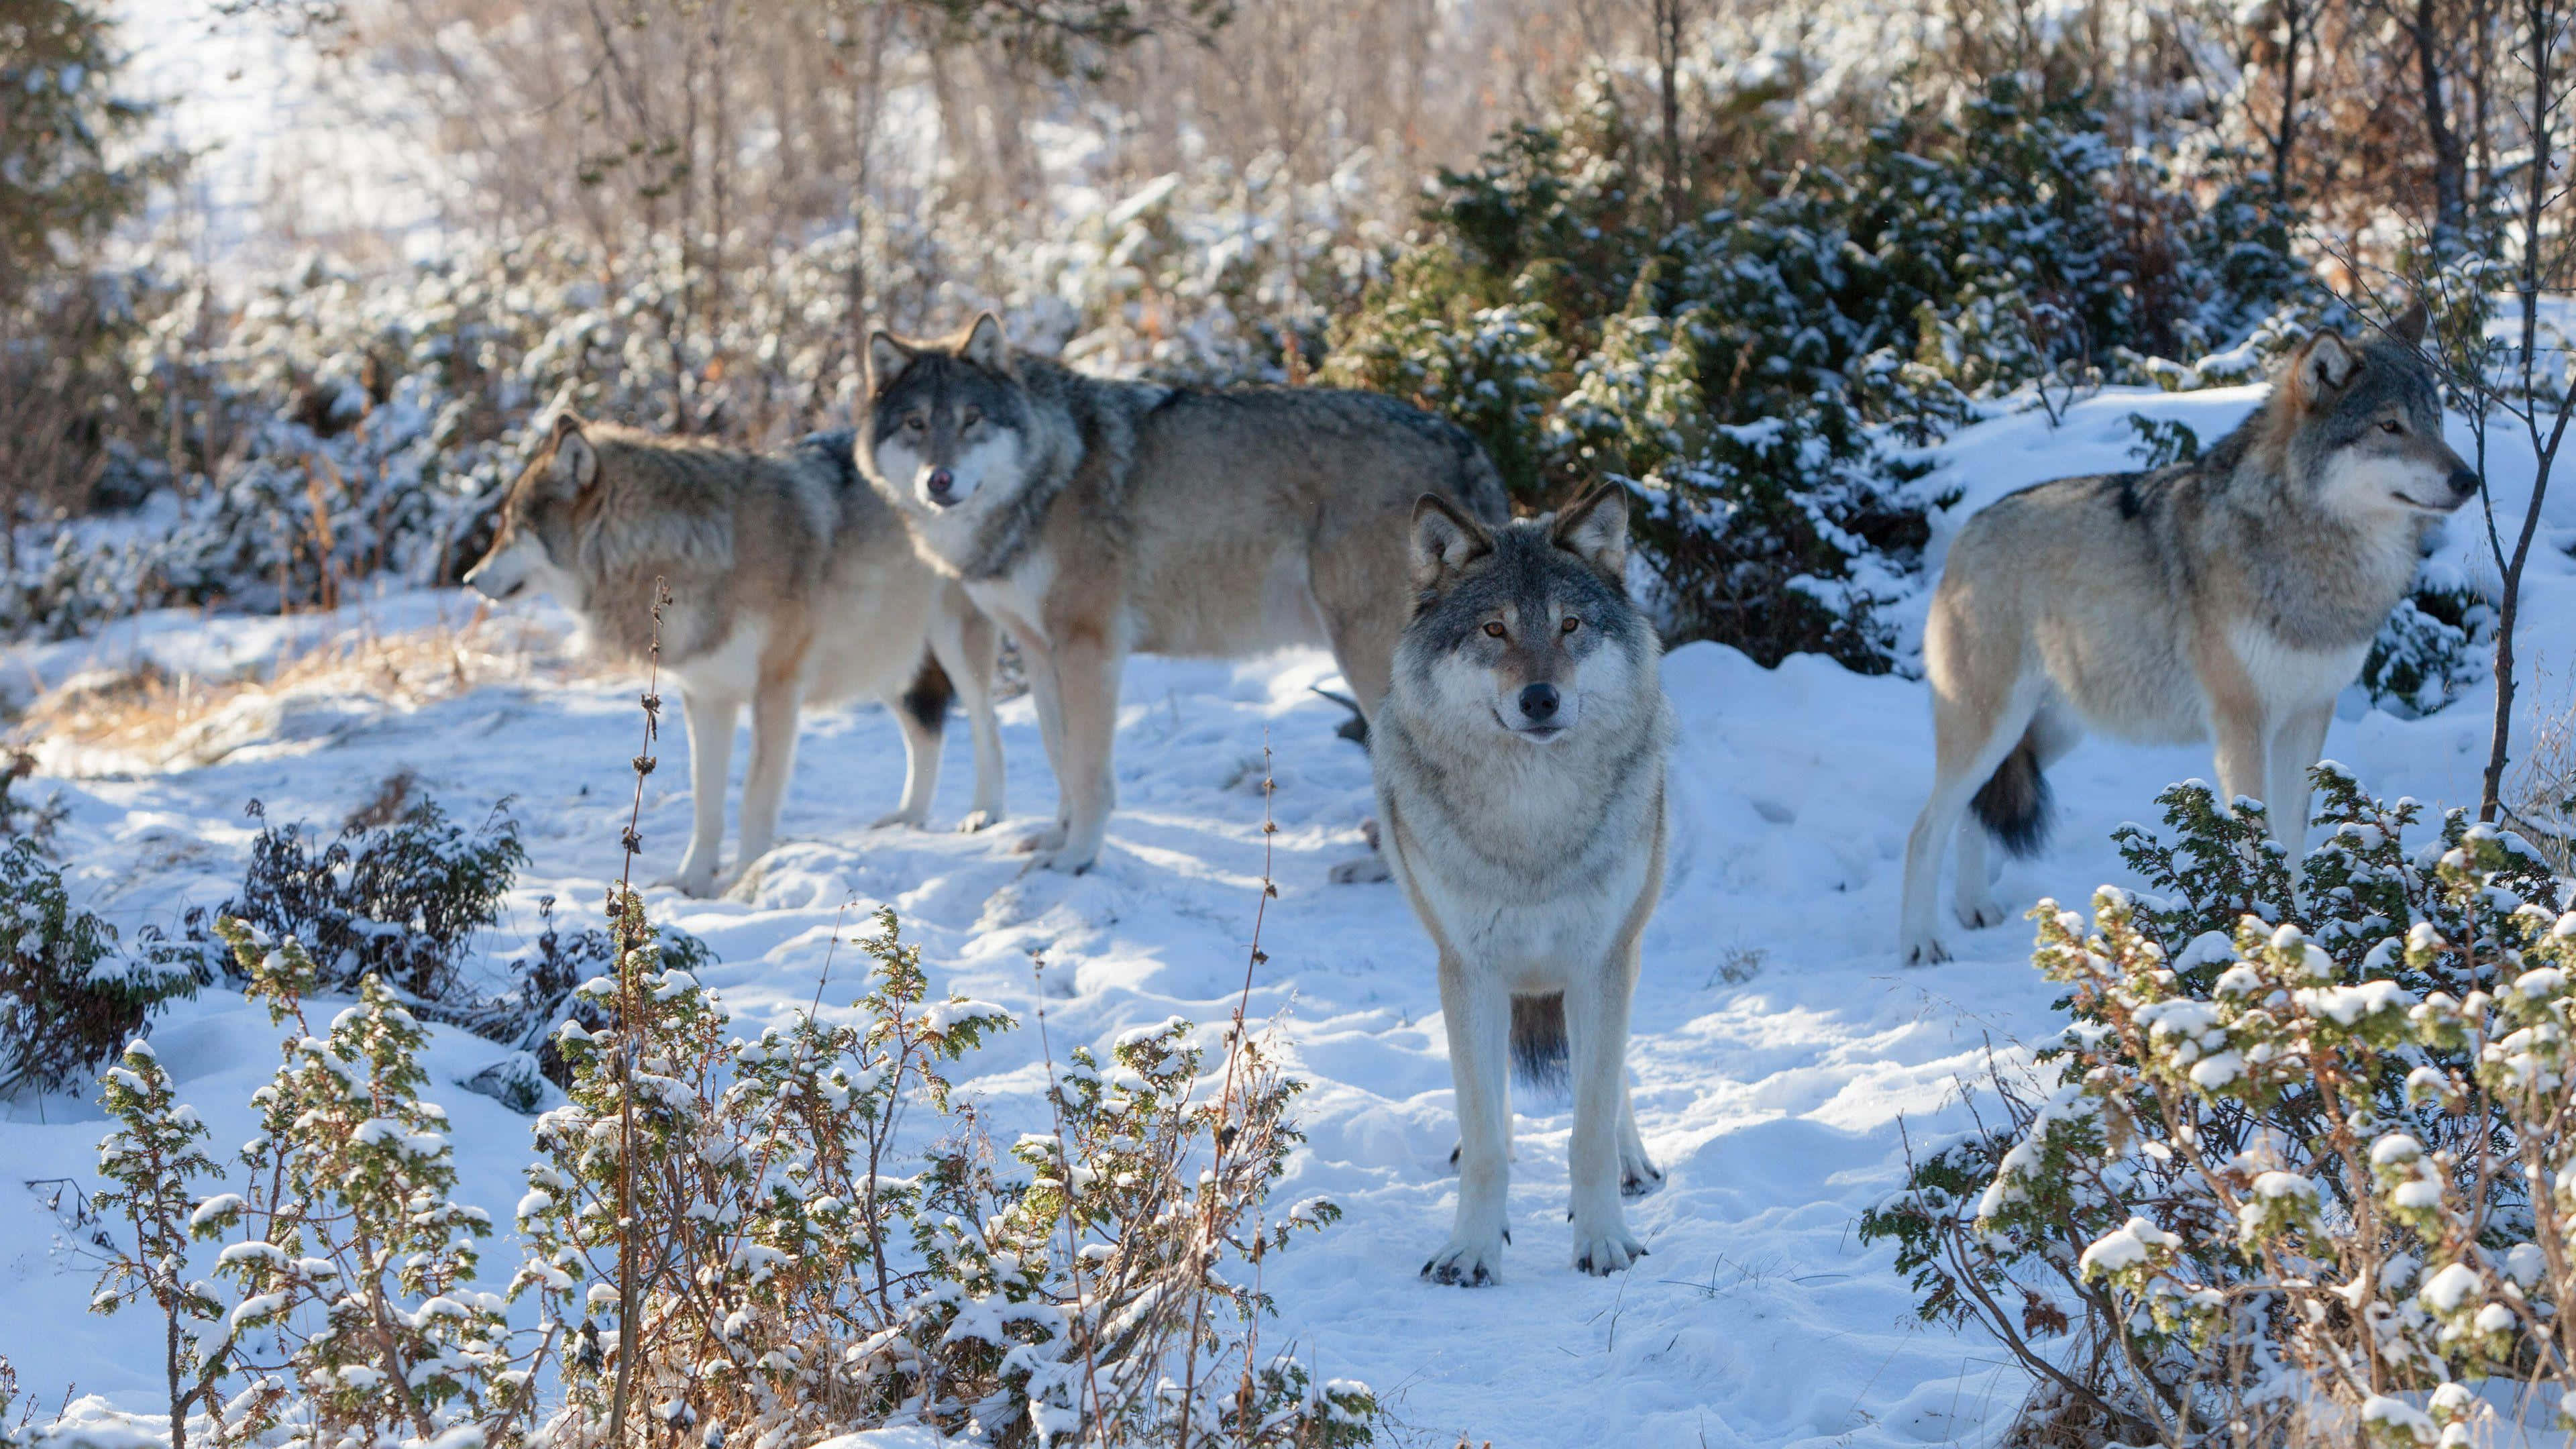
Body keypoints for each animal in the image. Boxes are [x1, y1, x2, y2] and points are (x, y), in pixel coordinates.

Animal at [464, 414, 1005, 896]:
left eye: (512, 526)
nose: (469, 579)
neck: (695, 549)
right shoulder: (705, 696)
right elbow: (706, 803)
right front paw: (691, 881)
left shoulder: (777, 691)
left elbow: (753, 799)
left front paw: (744, 879)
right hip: (886, 658)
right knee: (926, 733)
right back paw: (908, 819)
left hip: (951, 640)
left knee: (985, 722)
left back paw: (985, 815)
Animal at [856, 313, 1510, 875]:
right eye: (916, 424)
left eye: (972, 420)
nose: (938, 481)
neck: (1050, 474)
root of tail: (1464, 440)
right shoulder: (1041, 653)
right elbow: (1058, 757)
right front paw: (1054, 839)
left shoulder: (1090, 646)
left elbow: (1088, 772)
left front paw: (1077, 860)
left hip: (1366, 655)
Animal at [1371, 486, 1676, 1284]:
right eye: (1494, 629)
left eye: (1570, 625)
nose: (1540, 699)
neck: (1532, 821)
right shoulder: (1468, 969)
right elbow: (1483, 1139)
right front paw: (1471, 1250)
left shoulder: (1602, 961)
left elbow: (1589, 1128)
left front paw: (1606, 1241)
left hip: (1627, 946)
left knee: (1612, 1080)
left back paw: (1634, 1163)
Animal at [1898, 303, 2477, 964]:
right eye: (2389, 426)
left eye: (2437, 423)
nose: (2469, 480)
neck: (2310, 552)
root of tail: (1966, 531)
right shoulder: (2241, 723)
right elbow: (2257, 842)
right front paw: (2265, 941)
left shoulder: (2309, 717)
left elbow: (2293, 841)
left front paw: (2302, 942)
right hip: (1991, 728)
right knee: (1925, 828)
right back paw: (1921, 943)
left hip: (2048, 734)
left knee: (1975, 814)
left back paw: (1975, 910)